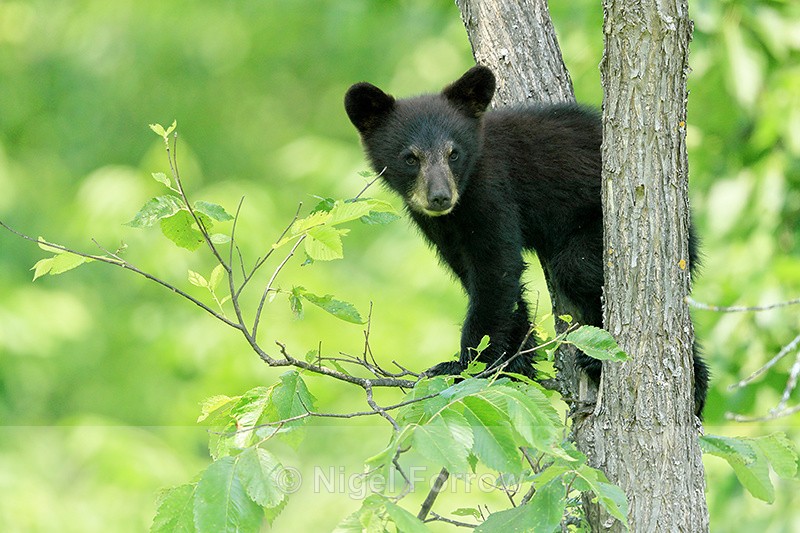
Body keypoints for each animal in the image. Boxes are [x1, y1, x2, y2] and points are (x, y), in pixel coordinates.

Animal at [344, 65, 708, 416]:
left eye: (453, 154)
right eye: (411, 157)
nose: (440, 197)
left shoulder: (492, 191)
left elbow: (495, 272)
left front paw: (465, 367)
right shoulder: (439, 227)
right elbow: (483, 279)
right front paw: (516, 361)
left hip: (601, 224)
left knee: (579, 270)